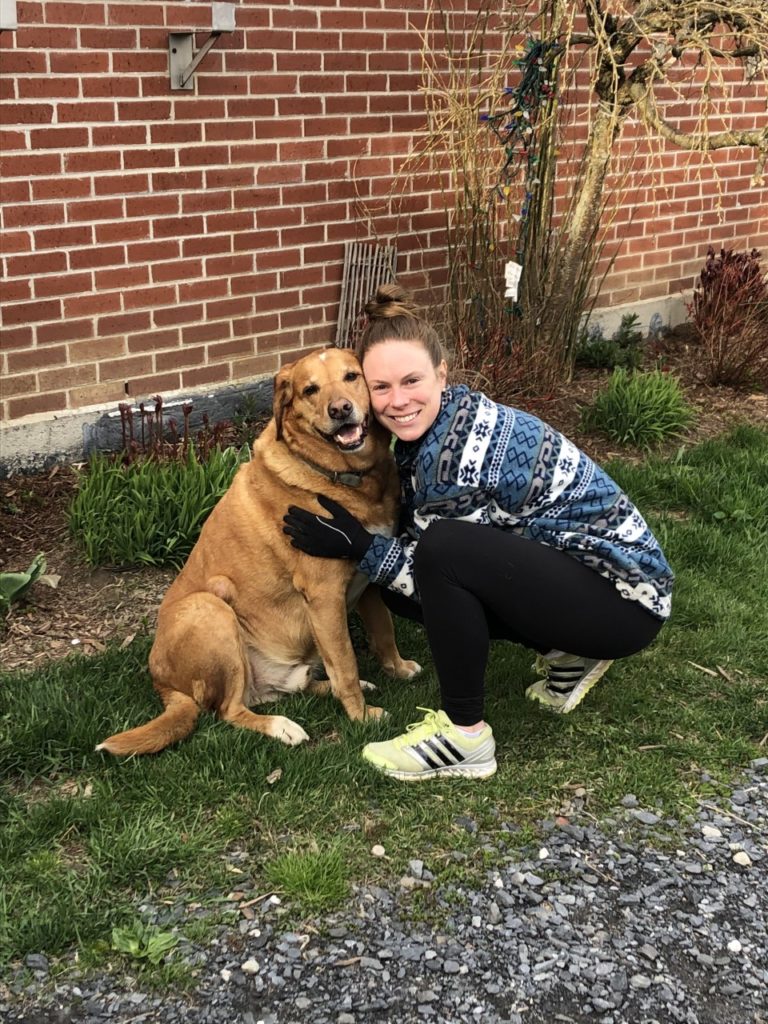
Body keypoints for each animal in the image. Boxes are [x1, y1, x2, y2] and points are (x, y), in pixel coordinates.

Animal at [97, 348, 421, 757]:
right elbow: (346, 663)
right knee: (229, 710)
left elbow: (384, 631)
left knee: (289, 688)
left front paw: (397, 669)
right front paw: (362, 717)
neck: (349, 479)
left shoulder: (371, 579)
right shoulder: (325, 595)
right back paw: (282, 726)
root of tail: (165, 685)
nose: (340, 410)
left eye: (352, 376)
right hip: (211, 609)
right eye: (310, 389)